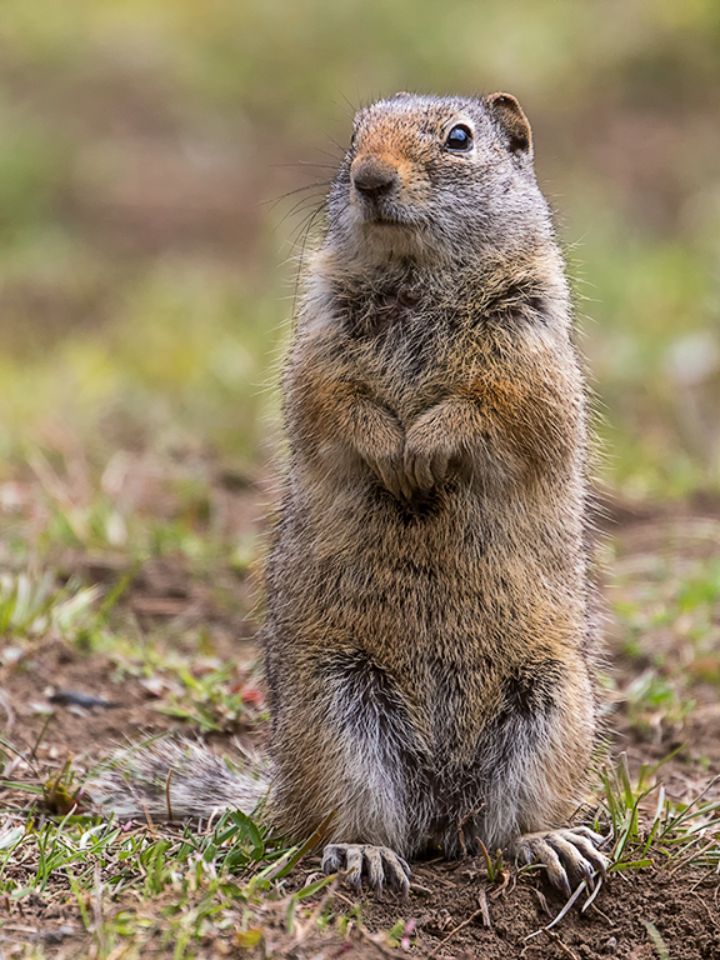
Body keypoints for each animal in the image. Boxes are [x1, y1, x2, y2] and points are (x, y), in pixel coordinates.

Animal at [94, 91, 608, 898]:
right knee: (343, 826)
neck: (416, 275)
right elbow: (334, 403)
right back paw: (368, 853)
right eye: (354, 136)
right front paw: (392, 454)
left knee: (502, 831)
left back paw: (552, 841)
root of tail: (440, 812)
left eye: (459, 138)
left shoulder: (527, 344)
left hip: (552, 708)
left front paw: (422, 449)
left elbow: (490, 408)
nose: (369, 179)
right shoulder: (319, 338)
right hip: (337, 714)